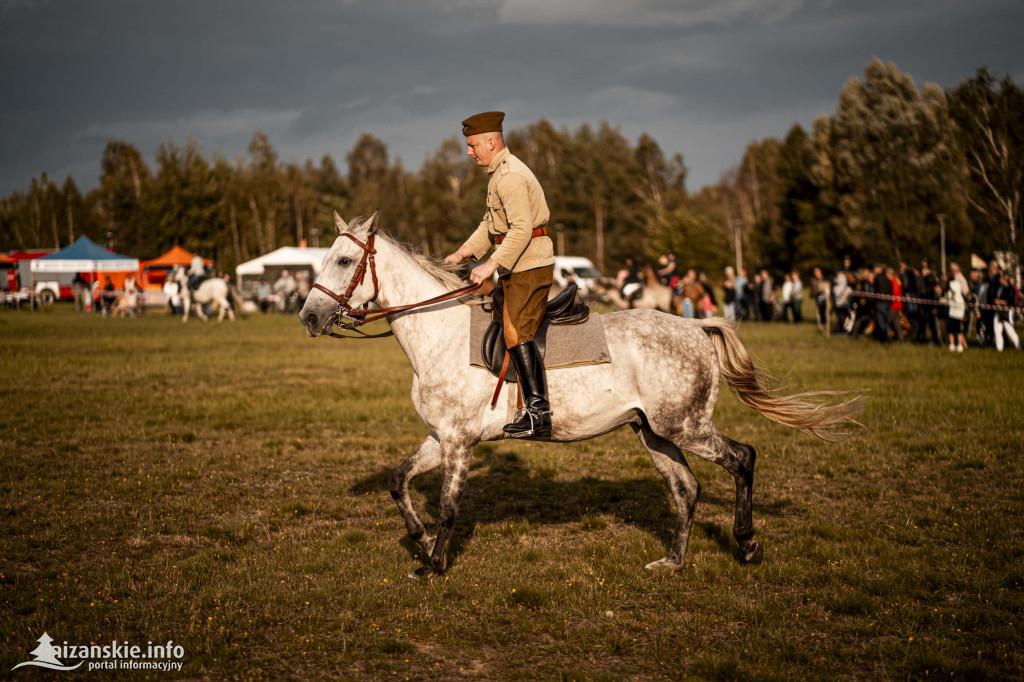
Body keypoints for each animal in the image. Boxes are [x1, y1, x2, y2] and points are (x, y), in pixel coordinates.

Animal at [299, 210, 864, 573]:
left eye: (345, 262)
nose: (307, 317)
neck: (441, 332)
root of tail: (695, 326)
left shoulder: (459, 441)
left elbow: (450, 505)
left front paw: (434, 565)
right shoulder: (441, 437)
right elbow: (398, 481)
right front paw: (417, 540)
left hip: (686, 426)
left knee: (743, 458)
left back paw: (746, 546)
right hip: (653, 433)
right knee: (686, 489)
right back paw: (673, 562)